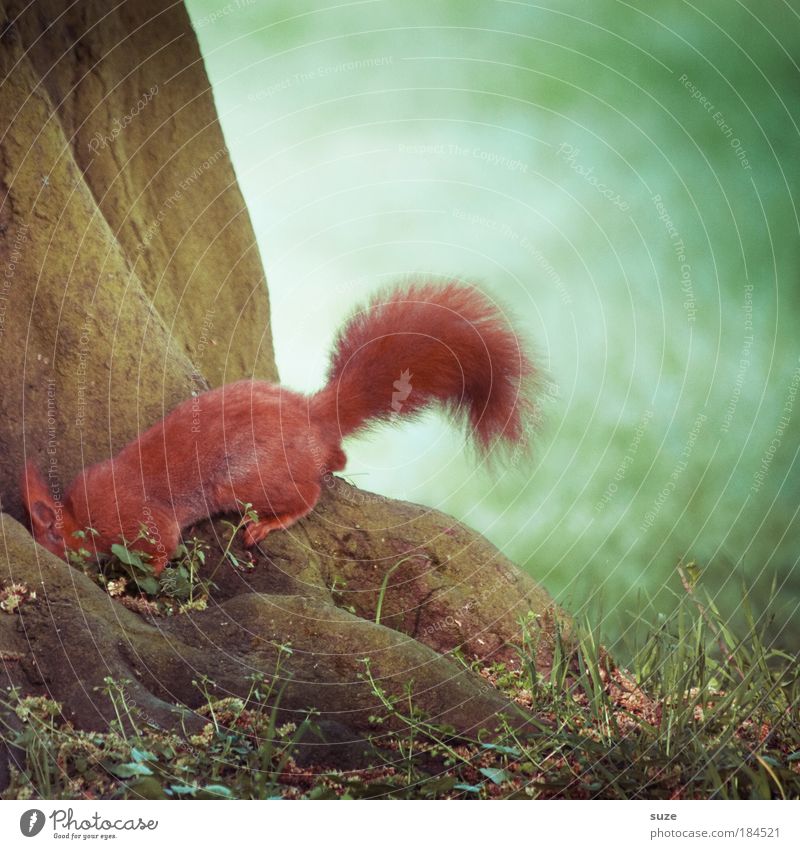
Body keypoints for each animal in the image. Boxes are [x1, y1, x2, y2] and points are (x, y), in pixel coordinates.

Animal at [21, 282, 536, 572]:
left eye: (50, 538)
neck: (81, 514)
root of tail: (312, 418)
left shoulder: (137, 522)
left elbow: (162, 550)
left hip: (247, 479)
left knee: (309, 493)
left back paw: (269, 522)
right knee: (336, 460)